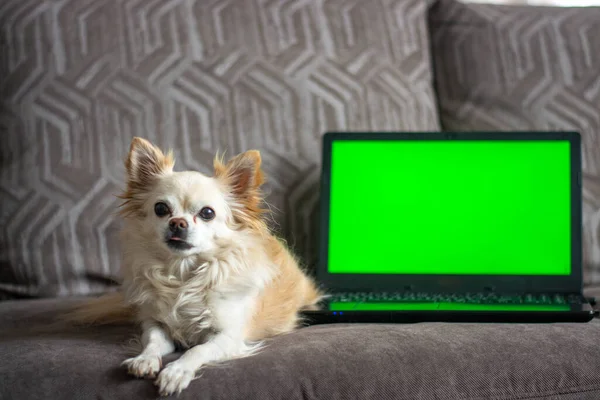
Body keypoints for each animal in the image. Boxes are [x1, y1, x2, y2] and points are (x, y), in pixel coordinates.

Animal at [67, 138, 324, 396]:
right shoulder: (154, 323)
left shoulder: (229, 336)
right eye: (161, 209)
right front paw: (144, 359)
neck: (182, 275)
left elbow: (197, 349)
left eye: (207, 213)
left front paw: (177, 371)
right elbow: (153, 341)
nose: (177, 223)